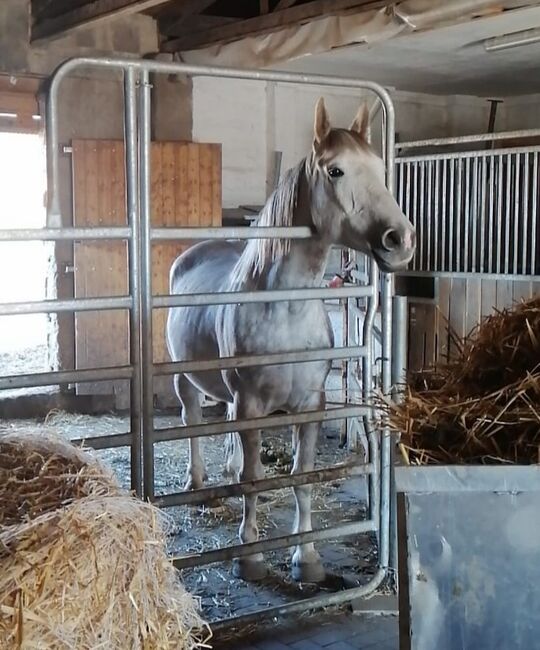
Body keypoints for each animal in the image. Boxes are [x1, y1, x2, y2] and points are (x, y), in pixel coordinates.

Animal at [167, 100, 416, 584]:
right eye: (336, 170)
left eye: (380, 169)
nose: (400, 240)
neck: (284, 310)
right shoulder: (251, 407)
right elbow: (255, 475)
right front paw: (251, 556)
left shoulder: (310, 405)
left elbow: (301, 476)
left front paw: (308, 558)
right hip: (184, 379)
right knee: (192, 421)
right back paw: (198, 483)